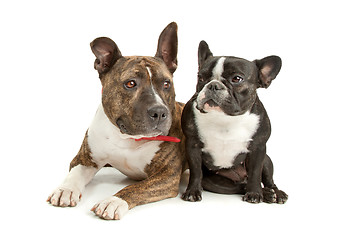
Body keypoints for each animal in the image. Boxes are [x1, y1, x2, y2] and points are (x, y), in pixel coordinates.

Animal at [181, 41, 288, 204]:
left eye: (237, 79)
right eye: (201, 77)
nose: (213, 85)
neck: (226, 118)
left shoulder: (259, 148)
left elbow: (255, 173)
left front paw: (254, 194)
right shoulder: (192, 145)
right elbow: (196, 171)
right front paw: (192, 191)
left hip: (267, 160)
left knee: (266, 180)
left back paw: (274, 193)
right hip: (215, 182)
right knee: (239, 186)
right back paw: (266, 194)